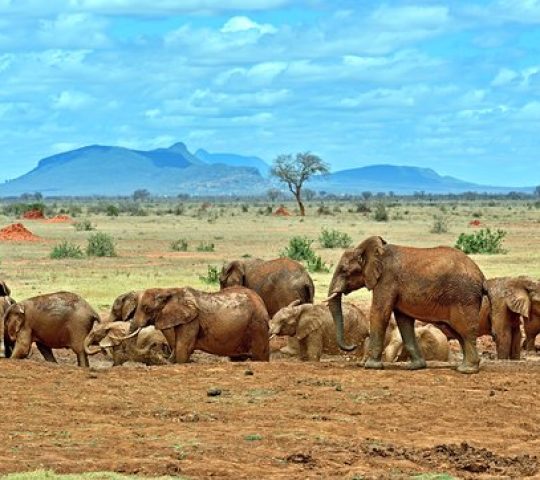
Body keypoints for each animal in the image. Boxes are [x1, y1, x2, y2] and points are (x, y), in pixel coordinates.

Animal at [129, 286, 272, 362]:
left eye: (146, 308)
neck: (168, 290)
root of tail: (261, 301)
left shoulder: (192, 320)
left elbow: (183, 347)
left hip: (257, 325)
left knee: (260, 355)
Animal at [326, 236, 488, 376]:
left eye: (344, 270)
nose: (352, 346)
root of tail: (481, 276)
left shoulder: (386, 279)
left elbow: (380, 313)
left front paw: (371, 366)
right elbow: (403, 320)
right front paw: (415, 367)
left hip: (464, 297)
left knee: (465, 331)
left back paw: (467, 370)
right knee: (459, 333)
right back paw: (463, 367)